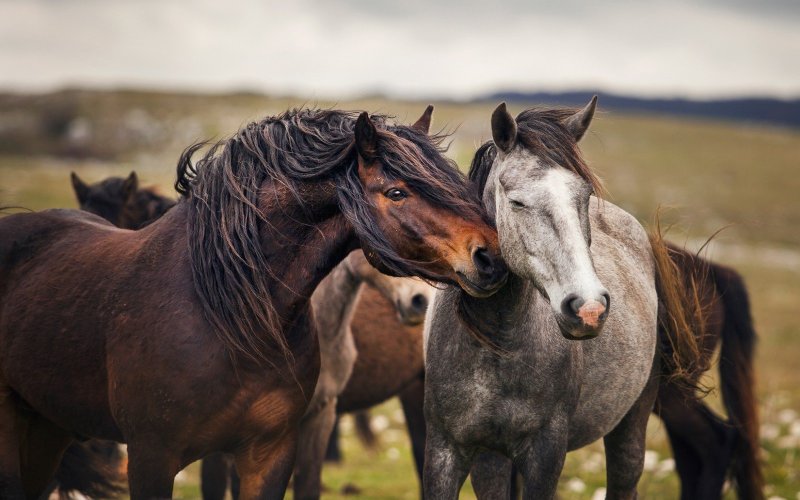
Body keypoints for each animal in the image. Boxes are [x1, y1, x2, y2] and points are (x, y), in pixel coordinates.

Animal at [422, 98, 704, 500]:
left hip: (631, 422)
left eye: (583, 197)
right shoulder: (445, 450)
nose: (588, 308)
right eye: (517, 202)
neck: (496, 343)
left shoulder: (545, 453)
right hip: (492, 457)